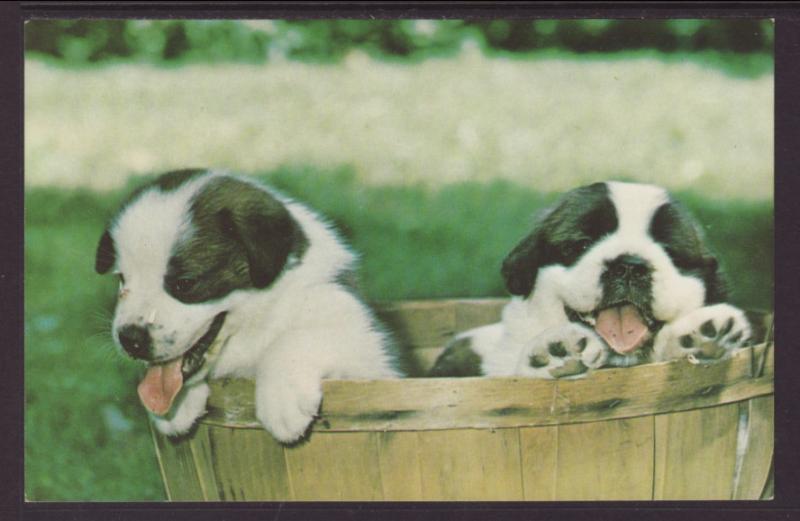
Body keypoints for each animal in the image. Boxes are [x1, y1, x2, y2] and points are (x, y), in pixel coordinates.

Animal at [96, 170, 404, 442]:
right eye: (122, 280)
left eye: (185, 283)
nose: (130, 339)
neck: (256, 321)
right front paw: (177, 408)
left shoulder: (364, 342)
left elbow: (294, 338)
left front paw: (282, 400)